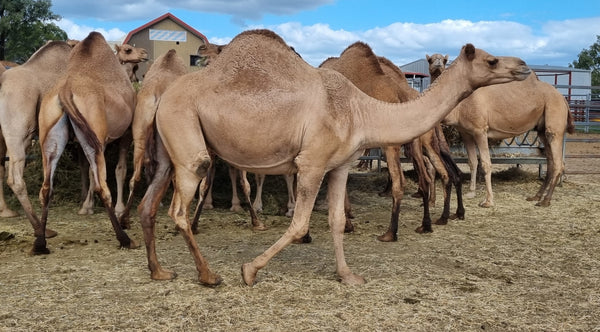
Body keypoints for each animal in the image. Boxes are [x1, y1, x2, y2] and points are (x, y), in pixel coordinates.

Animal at [35, 31, 142, 254]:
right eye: (129, 50)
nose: (144, 54)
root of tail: (65, 91)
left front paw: (87, 206)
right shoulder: (123, 134)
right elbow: (119, 169)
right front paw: (115, 209)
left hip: (50, 133)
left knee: (46, 187)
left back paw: (40, 244)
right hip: (95, 135)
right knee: (103, 186)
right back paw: (125, 239)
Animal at [144, 29, 528, 286]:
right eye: (491, 59)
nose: (524, 66)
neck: (362, 110)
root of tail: (162, 96)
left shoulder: (340, 164)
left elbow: (337, 220)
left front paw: (348, 275)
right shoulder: (311, 163)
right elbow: (300, 224)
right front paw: (249, 270)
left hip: (167, 149)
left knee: (150, 204)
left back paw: (160, 271)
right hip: (187, 137)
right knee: (179, 206)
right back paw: (209, 275)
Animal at [438, 55, 576, 206]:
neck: (460, 106)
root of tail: (563, 98)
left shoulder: (480, 130)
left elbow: (486, 163)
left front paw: (488, 201)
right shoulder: (466, 132)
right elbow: (472, 161)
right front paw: (471, 193)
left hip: (554, 117)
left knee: (558, 162)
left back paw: (545, 201)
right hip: (541, 129)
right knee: (550, 162)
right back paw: (536, 196)